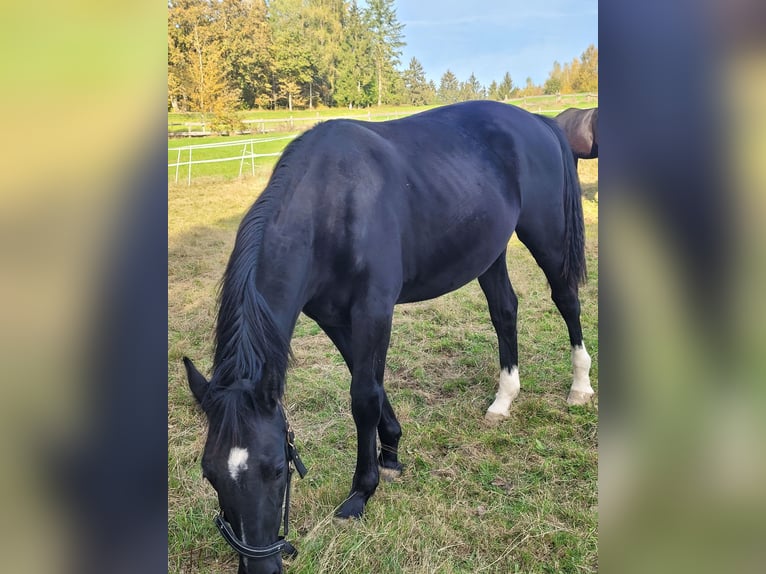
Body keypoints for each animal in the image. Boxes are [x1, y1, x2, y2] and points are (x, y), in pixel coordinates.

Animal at [184, 101, 592, 572]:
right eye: (210, 474)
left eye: (277, 469)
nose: (260, 567)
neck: (333, 205)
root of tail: (537, 121)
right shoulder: (334, 318)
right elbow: (372, 387)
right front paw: (392, 452)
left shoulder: (373, 310)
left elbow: (363, 397)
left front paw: (362, 491)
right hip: (490, 251)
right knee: (504, 312)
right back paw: (503, 399)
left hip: (546, 235)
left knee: (567, 301)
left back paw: (580, 385)